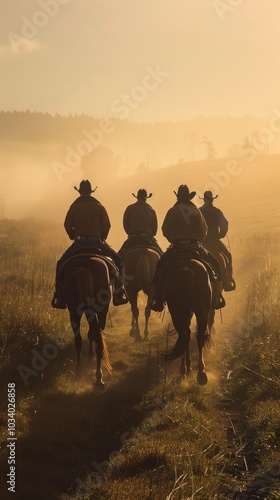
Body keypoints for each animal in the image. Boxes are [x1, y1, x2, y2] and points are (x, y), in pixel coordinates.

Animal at [63, 256, 112, 388]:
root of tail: (85, 266)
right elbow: (92, 334)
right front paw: (91, 355)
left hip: (74, 311)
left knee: (79, 340)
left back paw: (80, 371)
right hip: (101, 311)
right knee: (97, 338)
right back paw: (98, 378)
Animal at [162, 256, 212, 384]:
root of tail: (187, 270)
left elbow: (186, 334)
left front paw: (188, 369)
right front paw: (190, 369)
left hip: (177, 313)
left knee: (183, 338)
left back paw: (184, 371)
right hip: (201, 310)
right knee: (198, 336)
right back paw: (201, 372)